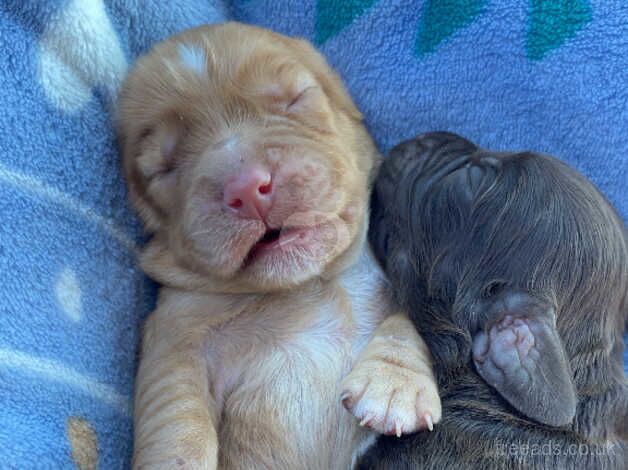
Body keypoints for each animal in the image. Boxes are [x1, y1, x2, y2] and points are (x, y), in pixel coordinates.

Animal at [118, 23, 442, 470]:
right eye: (162, 168)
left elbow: (408, 317)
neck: (310, 283)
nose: (246, 188)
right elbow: (177, 419)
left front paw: (395, 381)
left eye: (296, 98)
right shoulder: (174, 342)